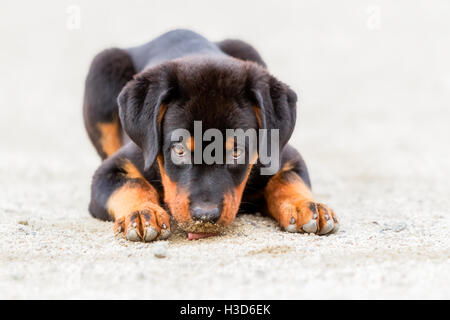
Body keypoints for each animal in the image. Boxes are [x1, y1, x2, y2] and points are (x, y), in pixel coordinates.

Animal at [83, 28, 338, 241]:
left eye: (236, 152)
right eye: (179, 150)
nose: (205, 217)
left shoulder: (285, 155)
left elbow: (286, 180)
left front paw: (305, 206)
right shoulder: (110, 169)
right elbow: (132, 184)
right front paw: (142, 212)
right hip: (103, 67)